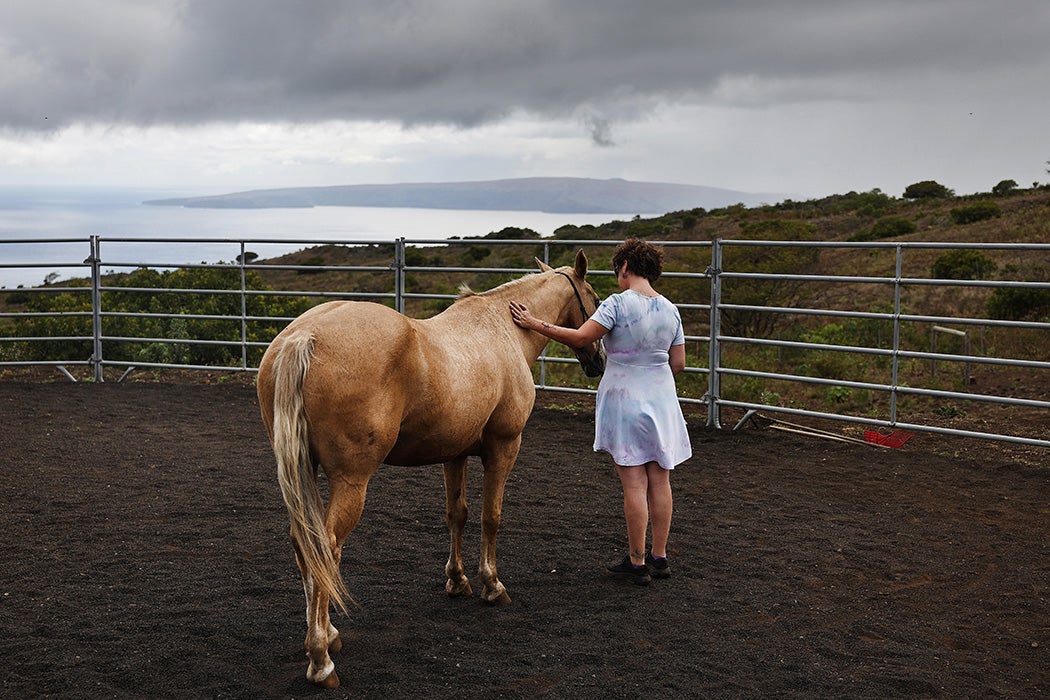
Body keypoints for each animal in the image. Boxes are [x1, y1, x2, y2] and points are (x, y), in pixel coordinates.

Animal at [256, 250, 605, 688]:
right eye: (596, 298)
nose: (598, 362)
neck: (503, 330)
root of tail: (304, 336)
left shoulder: (454, 454)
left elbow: (457, 514)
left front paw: (457, 580)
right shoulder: (504, 447)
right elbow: (491, 516)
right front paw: (492, 584)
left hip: (305, 474)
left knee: (305, 544)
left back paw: (327, 635)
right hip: (351, 481)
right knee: (327, 546)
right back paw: (321, 659)